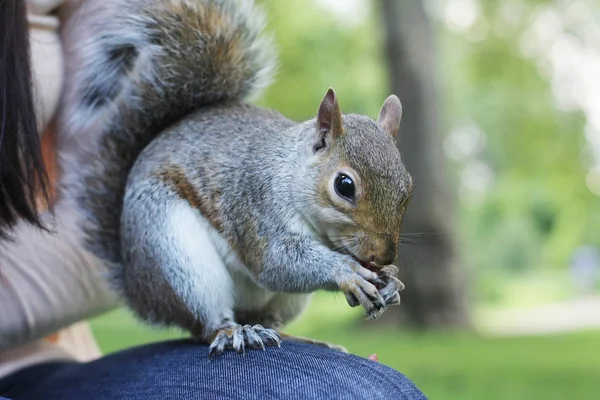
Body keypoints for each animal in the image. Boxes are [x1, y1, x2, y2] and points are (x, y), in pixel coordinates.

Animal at [54, 0, 412, 356]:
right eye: (344, 185)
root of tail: (139, 288)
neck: (290, 171)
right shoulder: (258, 207)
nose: (384, 255)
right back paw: (234, 332)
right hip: (176, 256)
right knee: (206, 323)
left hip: (282, 301)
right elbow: (276, 262)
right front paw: (346, 270)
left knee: (269, 320)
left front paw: (392, 280)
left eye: (408, 188)